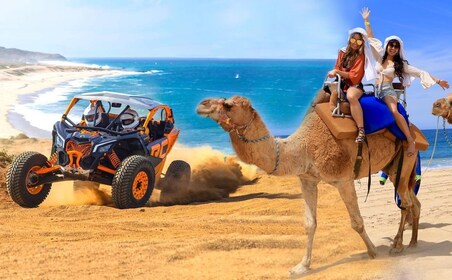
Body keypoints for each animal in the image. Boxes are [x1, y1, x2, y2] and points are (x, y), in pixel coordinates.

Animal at [197, 93, 420, 276]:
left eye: (227, 105)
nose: (202, 104)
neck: (303, 148)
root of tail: (413, 129)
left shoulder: (343, 179)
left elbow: (356, 222)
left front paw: (373, 251)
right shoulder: (307, 180)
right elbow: (309, 223)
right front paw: (301, 267)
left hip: (406, 158)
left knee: (405, 202)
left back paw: (398, 245)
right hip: (393, 167)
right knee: (413, 202)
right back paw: (412, 242)